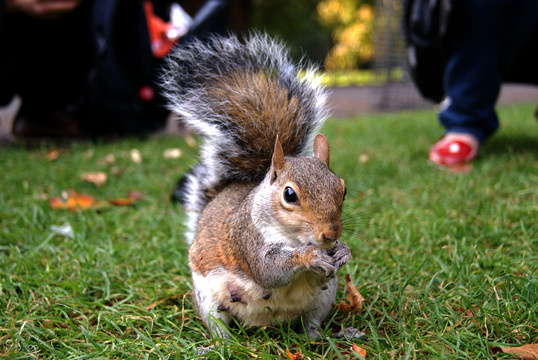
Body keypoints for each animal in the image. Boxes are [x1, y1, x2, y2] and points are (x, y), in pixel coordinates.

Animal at [161, 33, 350, 338]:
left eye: (342, 189)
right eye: (289, 194)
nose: (331, 233)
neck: (295, 238)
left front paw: (343, 251)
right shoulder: (247, 238)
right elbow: (268, 270)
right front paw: (308, 256)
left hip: (323, 299)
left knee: (311, 322)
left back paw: (323, 336)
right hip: (208, 298)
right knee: (217, 324)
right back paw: (220, 342)